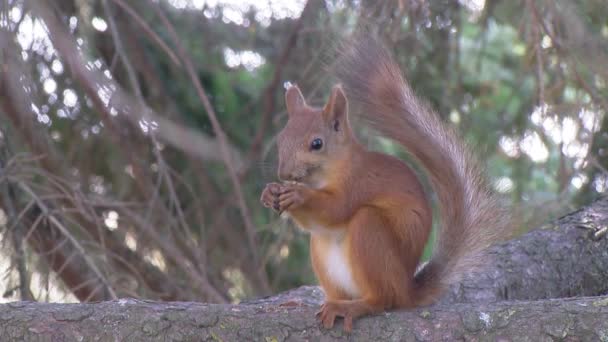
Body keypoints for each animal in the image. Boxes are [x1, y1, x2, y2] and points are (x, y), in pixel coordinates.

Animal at [258, 36, 510, 332]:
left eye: (316, 143)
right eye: (280, 139)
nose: (284, 172)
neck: (326, 174)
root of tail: (407, 291)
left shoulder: (359, 182)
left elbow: (336, 208)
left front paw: (298, 195)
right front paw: (270, 192)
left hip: (371, 233)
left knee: (384, 299)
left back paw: (356, 306)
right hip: (321, 250)